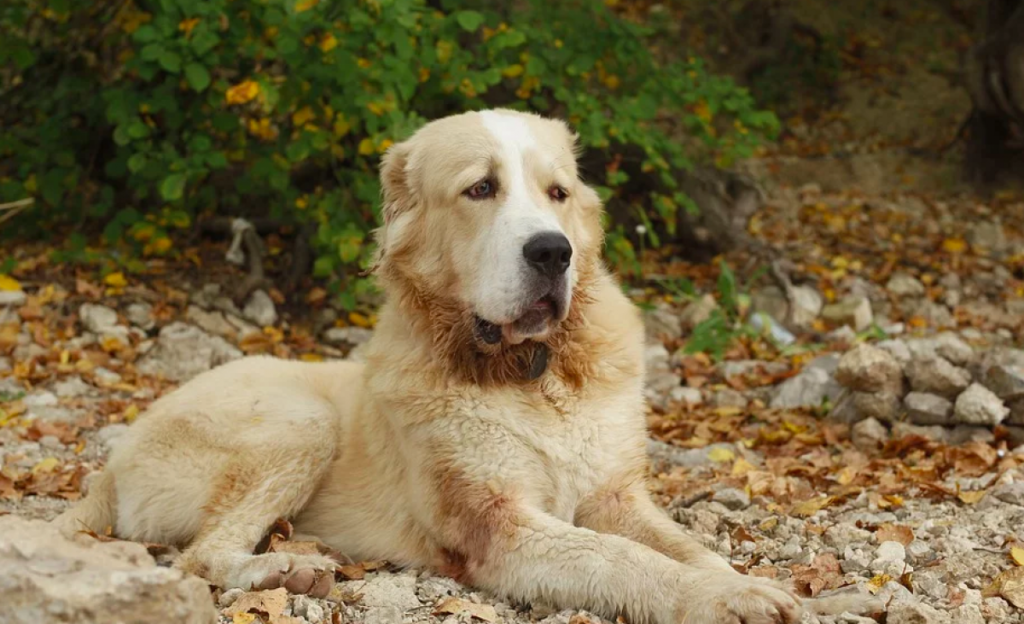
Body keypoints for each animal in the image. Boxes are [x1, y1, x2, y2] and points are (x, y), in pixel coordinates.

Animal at [56, 109, 856, 618]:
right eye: (481, 189)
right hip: (299, 421)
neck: (534, 374)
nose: (553, 252)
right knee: (198, 558)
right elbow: (623, 560)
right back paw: (283, 567)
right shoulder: (498, 527)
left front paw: (760, 584)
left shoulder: (616, 497)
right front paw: (724, 599)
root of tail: (109, 465)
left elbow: (685, 548)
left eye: (558, 193)